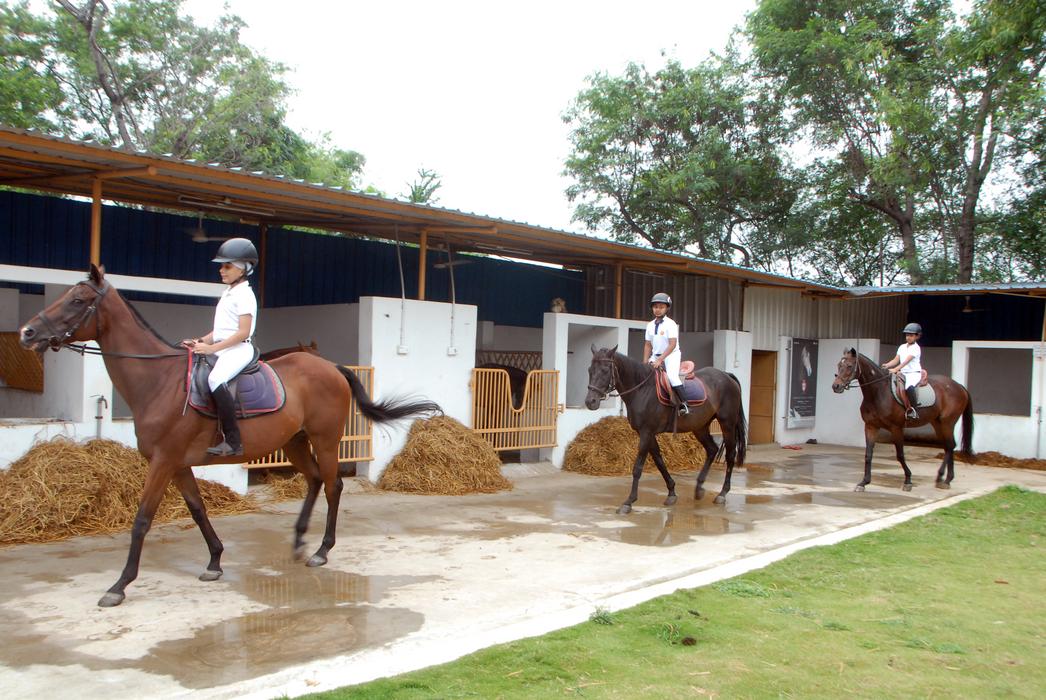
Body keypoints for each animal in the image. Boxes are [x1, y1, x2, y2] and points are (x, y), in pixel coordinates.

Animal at [19, 265, 441, 607]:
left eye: (77, 300)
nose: (27, 333)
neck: (159, 382)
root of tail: (331, 366)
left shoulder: (162, 462)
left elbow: (142, 520)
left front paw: (119, 586)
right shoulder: (177, 464)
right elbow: (198, 509)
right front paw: (215, 561)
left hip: (324, 439)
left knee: (333, 485)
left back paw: (321, 550)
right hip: (293, 441)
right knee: (315, 480)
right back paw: (298, 542)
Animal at [584, 345, 748, 514]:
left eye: (605, 370)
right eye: (590, 370)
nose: (590, 402)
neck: (642, 389)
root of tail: (726, 375)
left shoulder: (646, 432)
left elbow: (638, 468)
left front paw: (628, 502)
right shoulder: (646, 433)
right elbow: (659, 461)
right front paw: (671, 493)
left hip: (727, 424)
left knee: (730, 455)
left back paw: (722, 493)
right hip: (700, 427)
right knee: (712, 449)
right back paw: (699, 488)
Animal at [831, 348, 973, 492]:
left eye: (849, 366)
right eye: (839, 365)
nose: (836, 386)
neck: (878, 392)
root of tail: (959, 386)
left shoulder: (896, 428)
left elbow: (900, 455)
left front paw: (908, 481)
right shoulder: (871, 426)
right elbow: (868, 454)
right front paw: (863, 482)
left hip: (947, 423)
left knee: (950, 446)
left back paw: (945, 479)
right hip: (937, 423)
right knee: (948, 446)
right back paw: (944, 479)